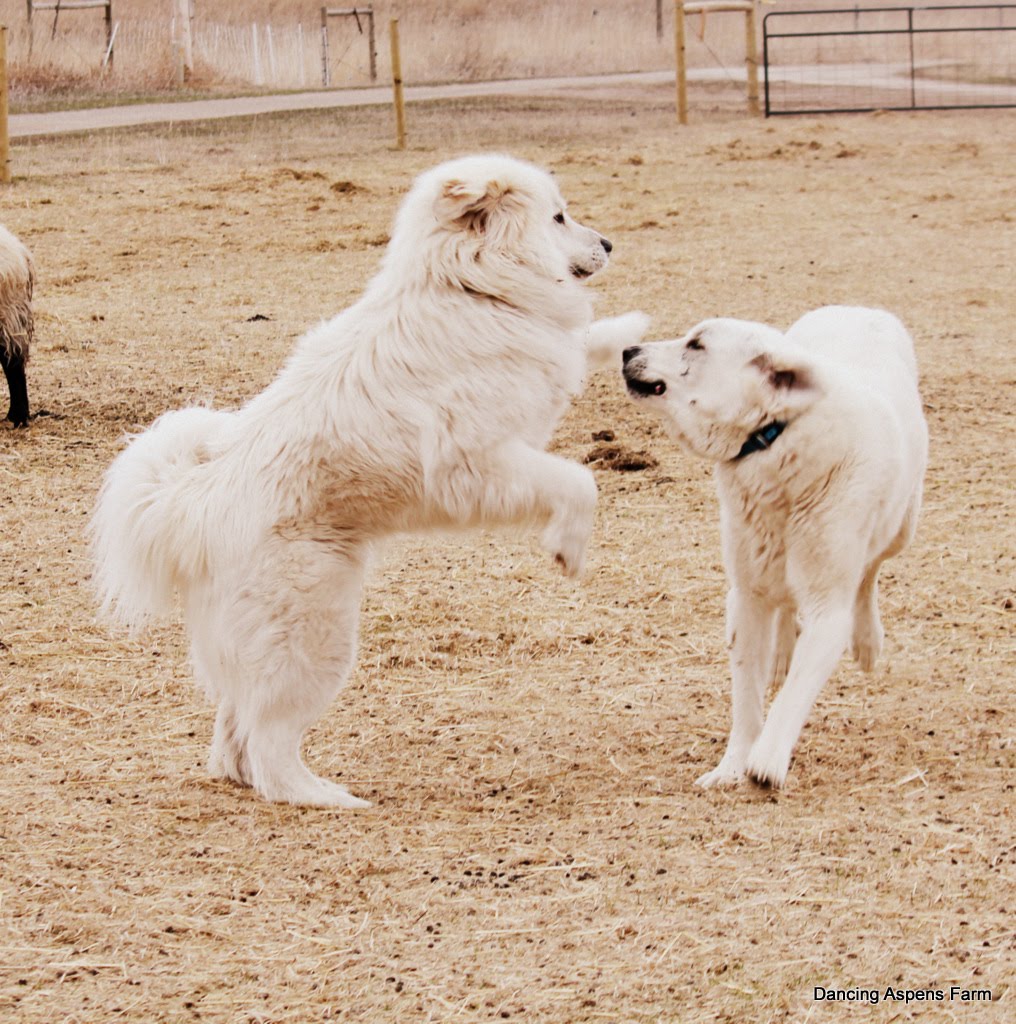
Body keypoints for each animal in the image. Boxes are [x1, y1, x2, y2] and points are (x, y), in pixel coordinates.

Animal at [95, 151, 651, 806]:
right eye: (559, 217)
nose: (609, 244)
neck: (474, 287)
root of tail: (194, 504)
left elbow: (580, 340)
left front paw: (628, 331)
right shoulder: (479, 465)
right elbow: (578, 482)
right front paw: (568, 548)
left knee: (234, 740)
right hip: (314, 643)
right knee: (268, 750)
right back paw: (329, 798)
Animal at [618, 303, 929, 782]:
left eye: (697, 344)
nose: (627, 350)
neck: (772, 438)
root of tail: (856, 307)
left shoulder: (828, 612)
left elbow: (795, 693)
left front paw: (765, 762)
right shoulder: (746, 595)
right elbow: (747, 696)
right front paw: (732, 766)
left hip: (900, 527)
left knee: (870, 573)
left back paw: (866, 640)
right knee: (786, 604)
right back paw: (782, 652)